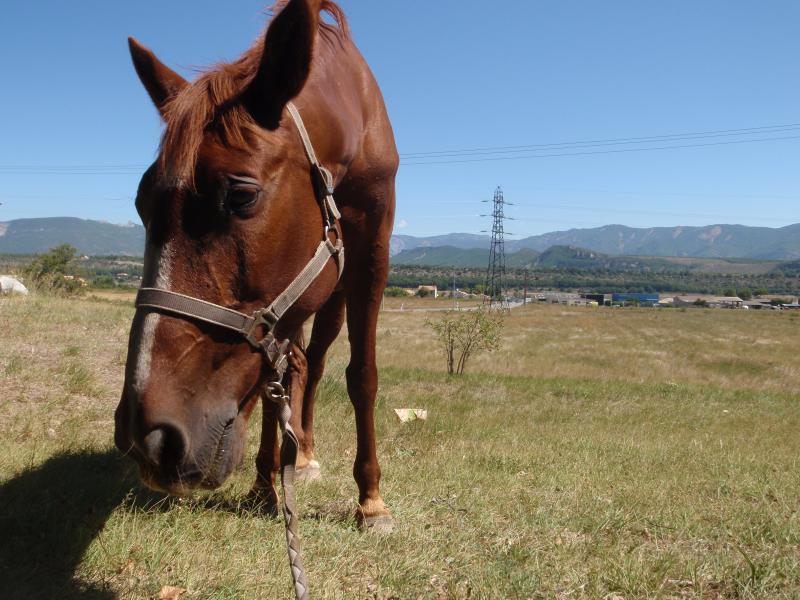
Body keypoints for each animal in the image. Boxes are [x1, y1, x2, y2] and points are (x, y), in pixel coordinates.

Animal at [113, 0, 396, 528]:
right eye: (141, 204)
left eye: (242, 195)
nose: (147, 438)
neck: (351, 115)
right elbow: (271, 383)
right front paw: (265, 485)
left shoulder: (373, 248)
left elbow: (361, 375)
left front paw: (371, 500)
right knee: (294, 368)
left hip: (333, 294)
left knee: (317, 362)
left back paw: (305, 454)